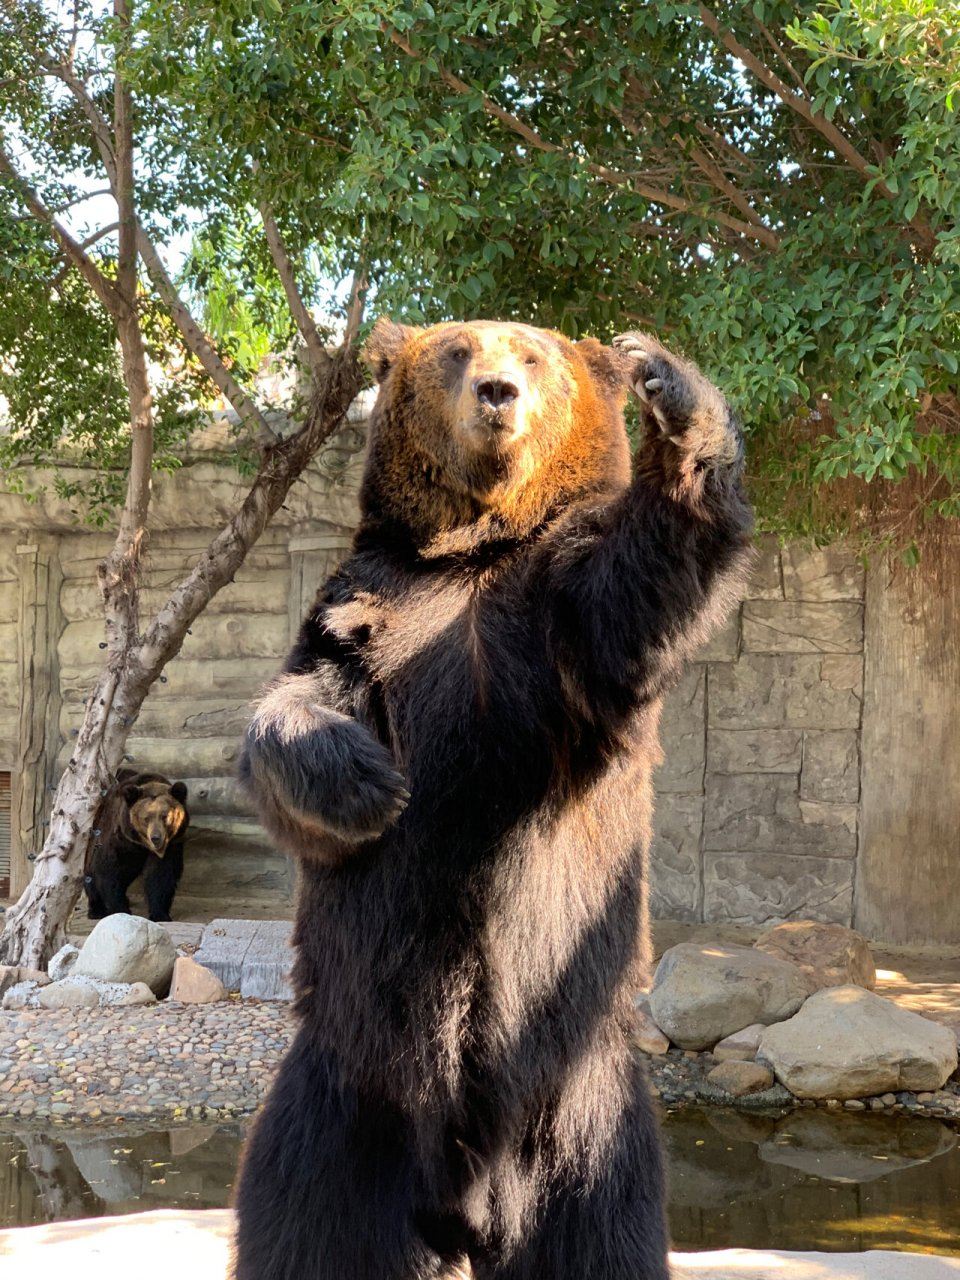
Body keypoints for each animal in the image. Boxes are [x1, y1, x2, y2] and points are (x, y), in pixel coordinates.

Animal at [84, 762, 189, 926]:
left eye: (165, 816)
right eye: (146, 818)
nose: (156, 838)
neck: (141, 844)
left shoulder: (171, 844)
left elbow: (161, 874)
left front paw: (160, 913)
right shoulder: (117, 839)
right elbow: (107, 870)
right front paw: (120, 909)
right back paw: (96, 909)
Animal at [231, 320, 752, 1280]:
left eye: (534, 354)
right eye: (457, 351)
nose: (498, 391)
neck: (474, 548)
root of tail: (465, 1198)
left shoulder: (554, 620)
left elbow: (633, 592)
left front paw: (670, 389)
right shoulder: (368, 606)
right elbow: (299, 703)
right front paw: (366, 782)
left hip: (581, 1104)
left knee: (597, 1229)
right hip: (351, 1089)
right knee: (313, 1219)